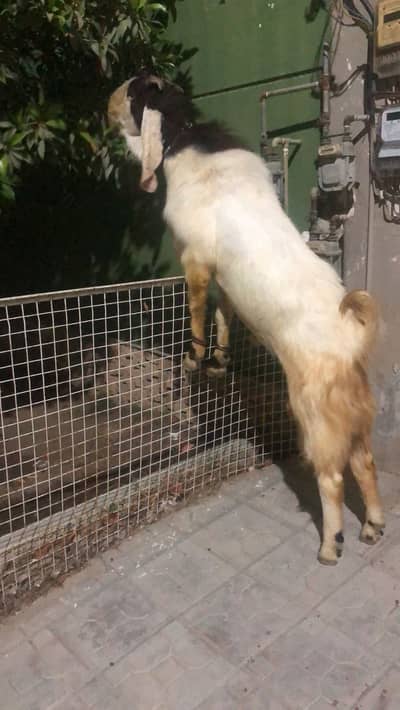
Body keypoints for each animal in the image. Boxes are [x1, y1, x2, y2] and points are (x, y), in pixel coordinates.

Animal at [108, 72, 384, 565]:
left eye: (136, 90)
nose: (107, 106)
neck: (191, 143)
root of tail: (351, 338)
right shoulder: (223, 278)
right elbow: (223, 311)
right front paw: (219, 362)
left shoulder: (195, 259)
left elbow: (198, 309)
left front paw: (194, 360)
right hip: (352, 409)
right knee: (364, 462)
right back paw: (372, 527)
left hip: (315, 411)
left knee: (332, 475)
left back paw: (330, 546)